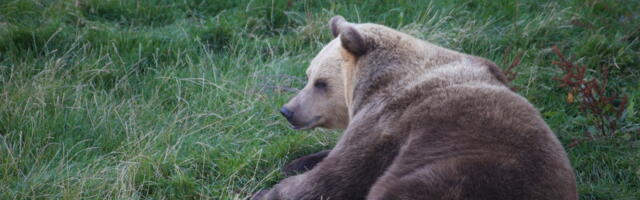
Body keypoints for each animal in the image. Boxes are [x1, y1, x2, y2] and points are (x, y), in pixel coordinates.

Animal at [254, 16, 576, 200]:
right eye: (308, 76)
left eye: (320, 83)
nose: (288, 111)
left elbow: (338, 175)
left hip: (463, 174)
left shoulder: (388, 117)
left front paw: (267, 192)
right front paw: (296, 162)